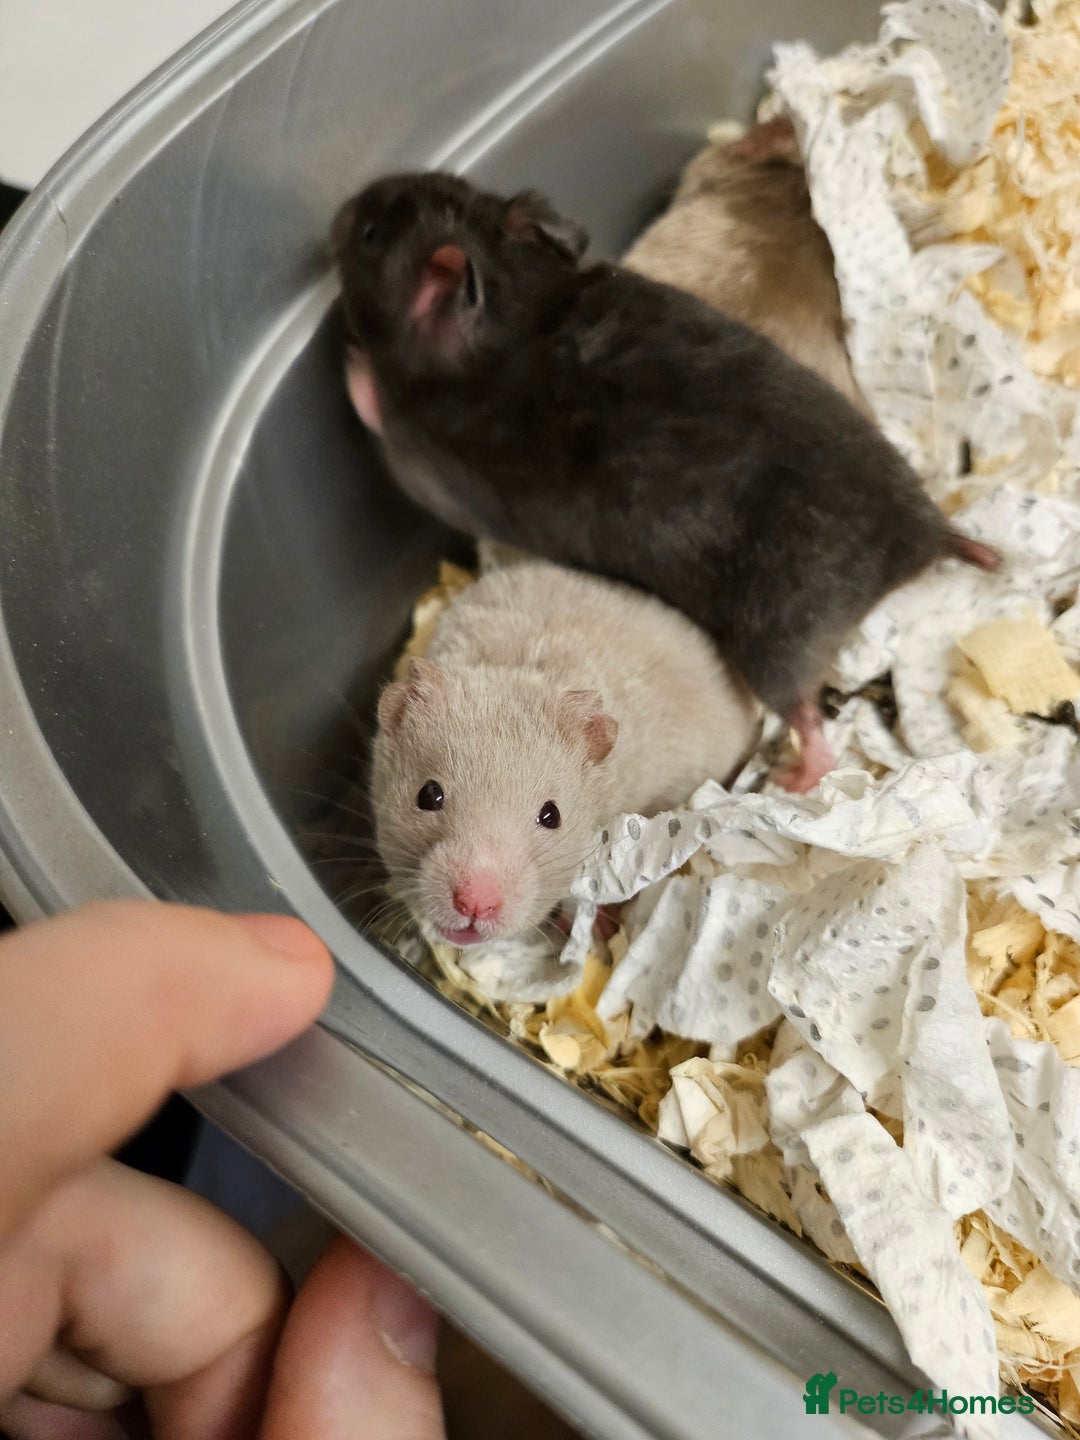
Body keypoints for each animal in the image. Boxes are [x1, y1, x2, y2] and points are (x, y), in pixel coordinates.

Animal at [333, 171, 998, 792]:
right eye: (444, 181)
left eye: (368, 234)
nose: (342, 208)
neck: (515, 300)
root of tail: (919, 533)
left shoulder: (437, 465)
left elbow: (387, 434)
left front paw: (354, 363)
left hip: (779, 637)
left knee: (807, 718)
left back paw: (799, 774)